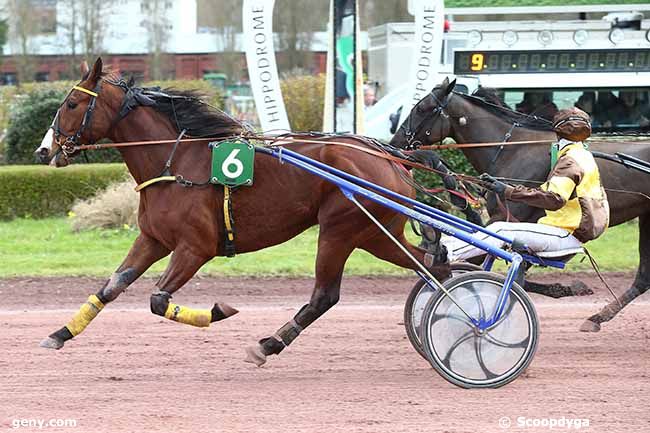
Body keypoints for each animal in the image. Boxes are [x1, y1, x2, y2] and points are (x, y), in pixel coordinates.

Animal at [35, 58, 448, 364]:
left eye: (71, 104)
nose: (43, 151)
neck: (174, 163)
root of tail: (392, 156)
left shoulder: (195, 248)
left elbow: (158, 300)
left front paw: (219, 311)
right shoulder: (153, 239)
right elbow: (110, 287)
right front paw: (59, 334)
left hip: (341, 230)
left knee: (325, 296)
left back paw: (269, 344)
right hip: (376, 233)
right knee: (435, 262)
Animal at [390, 78, 648, 330]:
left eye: (422, 108)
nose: (395, 142)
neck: (513, 149)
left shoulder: (508, 217)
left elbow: (486, 263)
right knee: (643, 277)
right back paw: (597, 317)